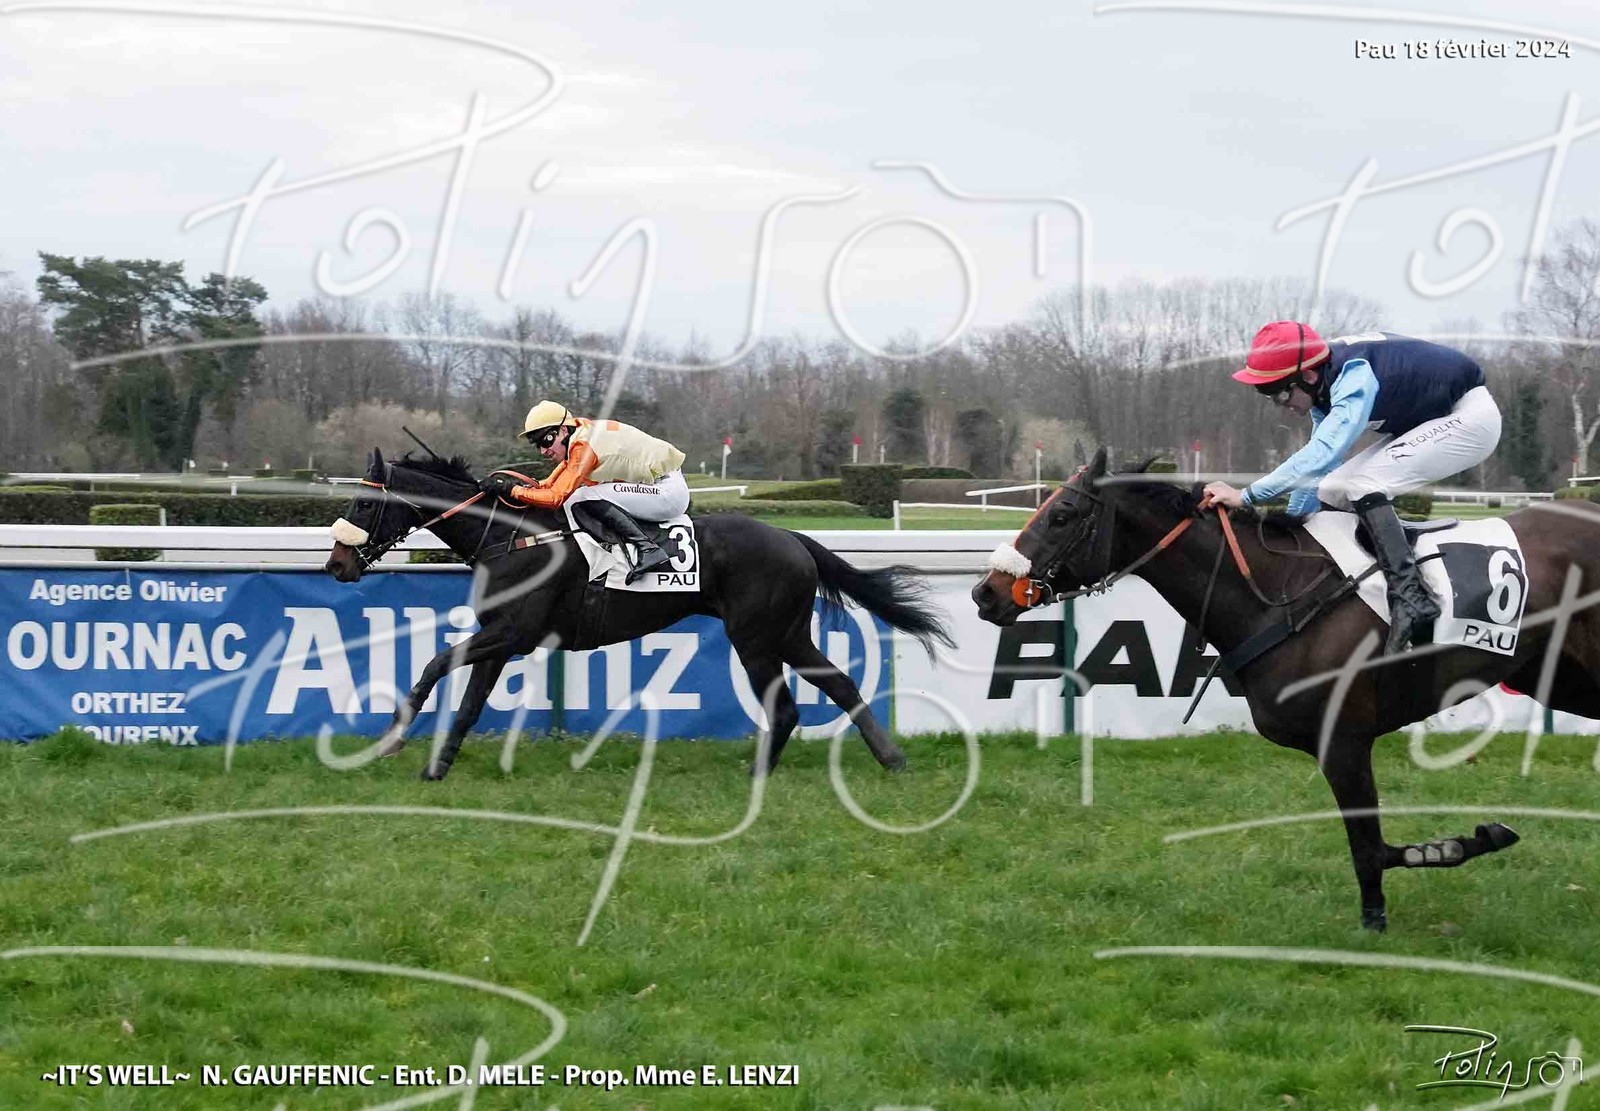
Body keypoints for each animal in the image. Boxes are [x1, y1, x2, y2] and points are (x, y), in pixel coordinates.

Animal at [323, 448, 953, 780]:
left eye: (362, 504)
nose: (335, 564)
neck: (509, 537)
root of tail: (792, 538)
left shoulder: (513, 633)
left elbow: (434, 665)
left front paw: (393, 738)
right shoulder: (499, 637)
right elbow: (471, 702)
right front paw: (438, 767)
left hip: (755, 637)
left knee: (788, 706)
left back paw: (761, 772)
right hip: (790, 634)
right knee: (840, 684)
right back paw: (890, 757)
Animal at [971, 447, 1600, 931]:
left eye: (1062, 513)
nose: (986, 592)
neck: (1279, 594)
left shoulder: (1343, 740)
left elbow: (1370, 847)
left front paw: (1382, 914)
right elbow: (1375, 846)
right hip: (1561, 678)